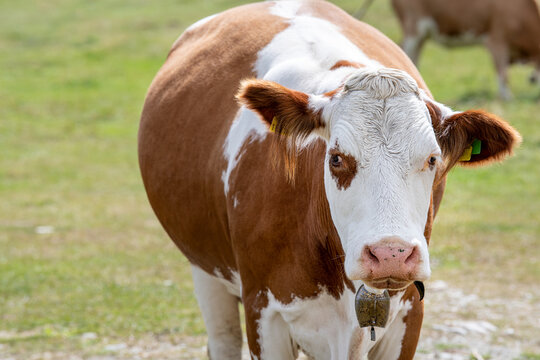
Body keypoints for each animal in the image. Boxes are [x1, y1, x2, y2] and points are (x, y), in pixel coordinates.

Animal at [138, 1, 520, 358]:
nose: (391, 255)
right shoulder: (264, 314)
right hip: (205, 270)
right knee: (222, 341)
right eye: (336, 158)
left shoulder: (409, 313)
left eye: (432, 159)